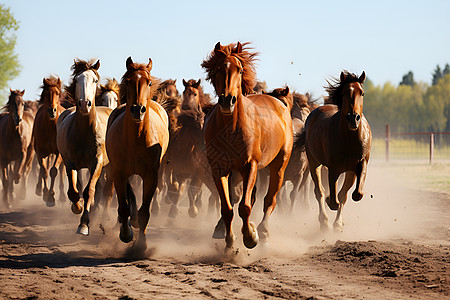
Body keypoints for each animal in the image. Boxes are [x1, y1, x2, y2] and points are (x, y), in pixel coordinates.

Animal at [32, 75, 66, 206]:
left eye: (57, 93)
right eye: (46, 93)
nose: (52, 110)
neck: (51, 127)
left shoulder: (59, 153)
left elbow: (54, 171)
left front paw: (51, 197)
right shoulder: (39, 151)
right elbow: (44, 170)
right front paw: (46, 193)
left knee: (61, 170)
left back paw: (62, 196)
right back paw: (39, 189)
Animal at [56, 58, 113, 236]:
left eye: (95, 80)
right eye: (76, 80)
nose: (84, 104)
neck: (84, 132)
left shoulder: (97, 164)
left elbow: (90, 191)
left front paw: (84, 224)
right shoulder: (70, 163)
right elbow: (74, 191)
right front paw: (78, 207)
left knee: (105, 191)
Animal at [106, 56, 171, 251]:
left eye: (148, 82)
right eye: (128, 81)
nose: (137, 109)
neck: (136, 139)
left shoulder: (151, 176)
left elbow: (144, 213)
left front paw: (142, 244)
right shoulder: (119, 173)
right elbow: (123, 207)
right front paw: (126, 234)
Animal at [202, 41, 294, 250]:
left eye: (240, 69)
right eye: (218, 68)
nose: (227, 100)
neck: (230, 129)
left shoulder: (250, 165)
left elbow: (245, 206)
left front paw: (250, 237)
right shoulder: (218, 169)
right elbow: (227, 208)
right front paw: (229, 242)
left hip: (278, 166)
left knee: (269, 200)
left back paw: (263, 231)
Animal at [294, 70, 370, 230]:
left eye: (362, 93)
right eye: (344, 93)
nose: (353, 118)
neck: (349, 139)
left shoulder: (358, 165)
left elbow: (353, 195)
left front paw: (338, 223)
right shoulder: (334, 168)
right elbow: (334, 198)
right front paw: (330, 203)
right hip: (314, 163)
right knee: (319, 192)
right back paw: (323, 220)